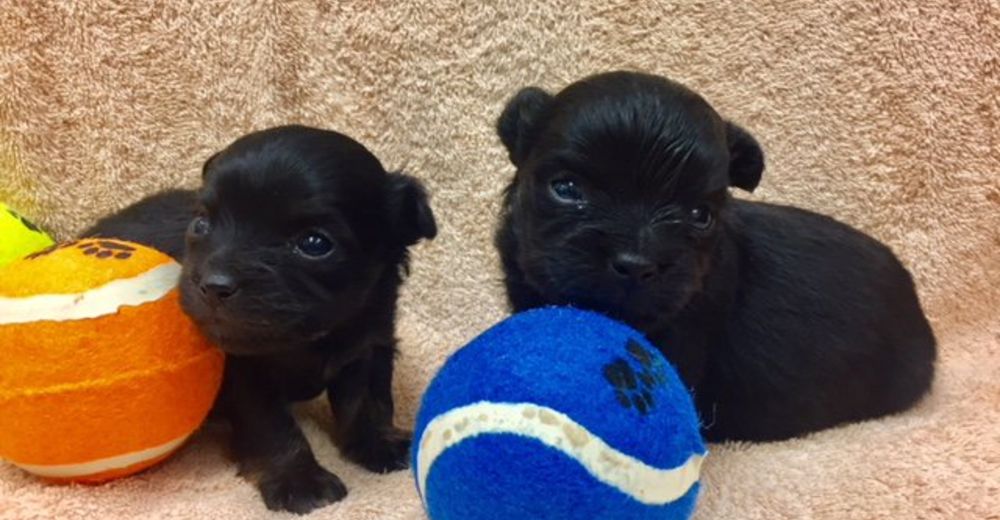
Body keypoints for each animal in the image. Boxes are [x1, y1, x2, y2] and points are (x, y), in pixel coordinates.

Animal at [82, 125, 434, 512]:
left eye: (314, 243)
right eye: (201, 223)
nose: (213, 286)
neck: (313, 337)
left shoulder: (369, 342)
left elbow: (368, 401)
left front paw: (379, 444)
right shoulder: (246, 370)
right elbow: (272, 426)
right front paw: (299, 480)